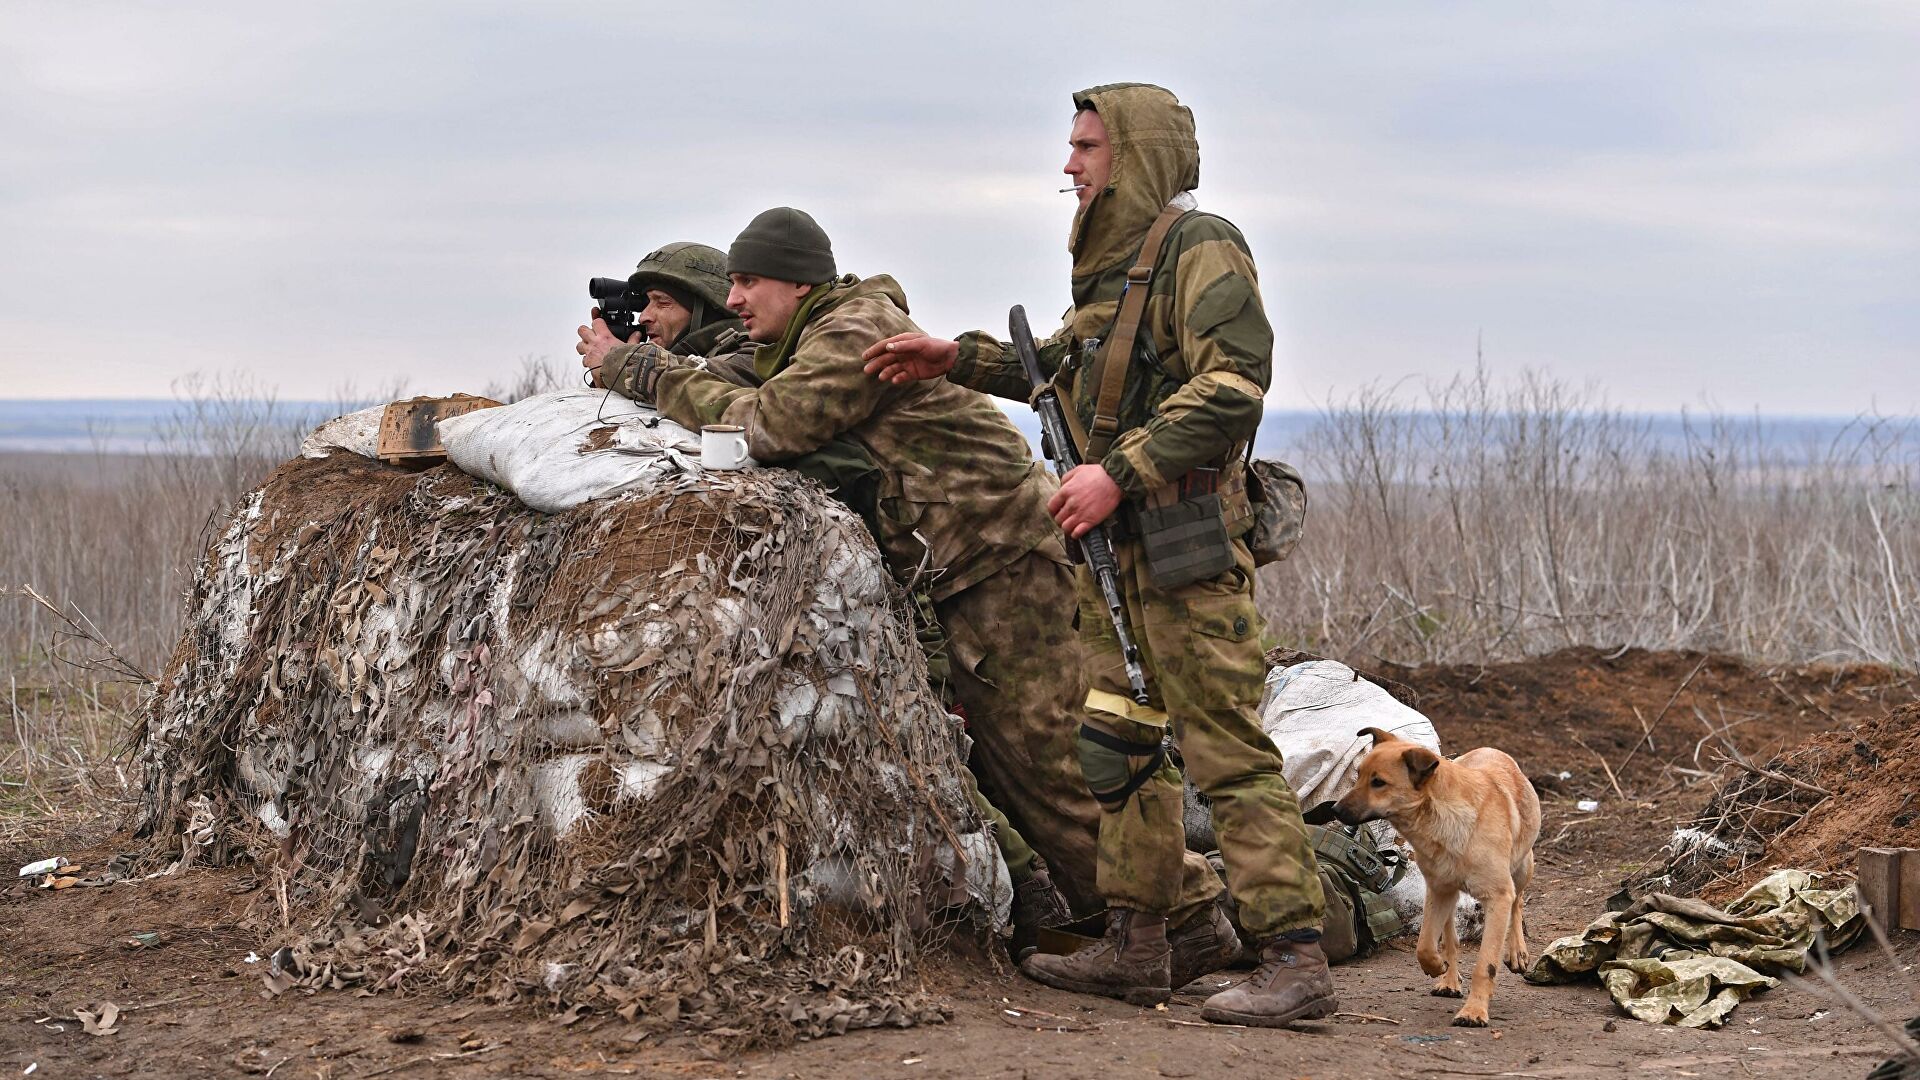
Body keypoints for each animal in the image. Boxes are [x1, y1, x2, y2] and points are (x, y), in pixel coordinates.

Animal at [1336, 726, 1543, 1022]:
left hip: (1523, 867)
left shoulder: (1498, 896)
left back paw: (1517, 952)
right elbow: (1424, 945)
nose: (1334, 810)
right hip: (1449, 894)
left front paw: (1474, 1011)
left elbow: (1486, 963)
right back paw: (1449, 980)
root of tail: (1491, 749)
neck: (1443, 817)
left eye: (1379, 782)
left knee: (1518, 901)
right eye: (1358, 776)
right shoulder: (1438, 890)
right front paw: (1437, 967)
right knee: (1450, 938)